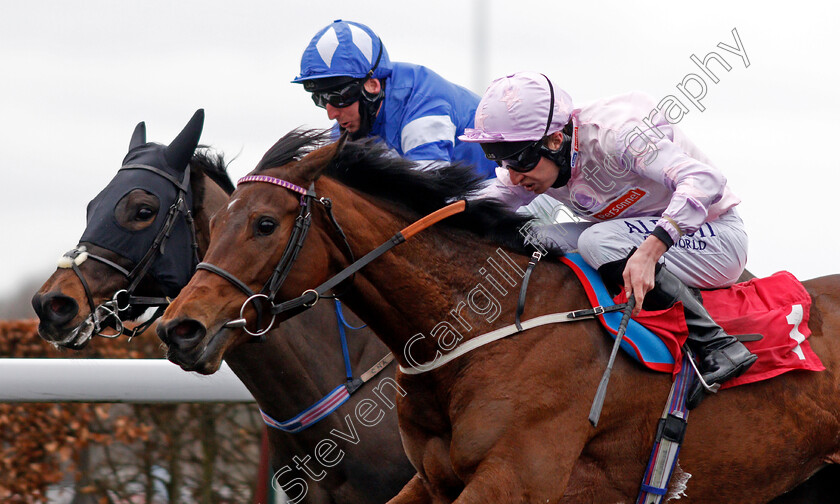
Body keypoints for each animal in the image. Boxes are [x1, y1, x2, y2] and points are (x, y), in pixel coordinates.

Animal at [159, 131, 840, 504]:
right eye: (215, 224)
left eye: (264, 224)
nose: (180, 328)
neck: (484, 331)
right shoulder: (433, 481)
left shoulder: (519, 480)